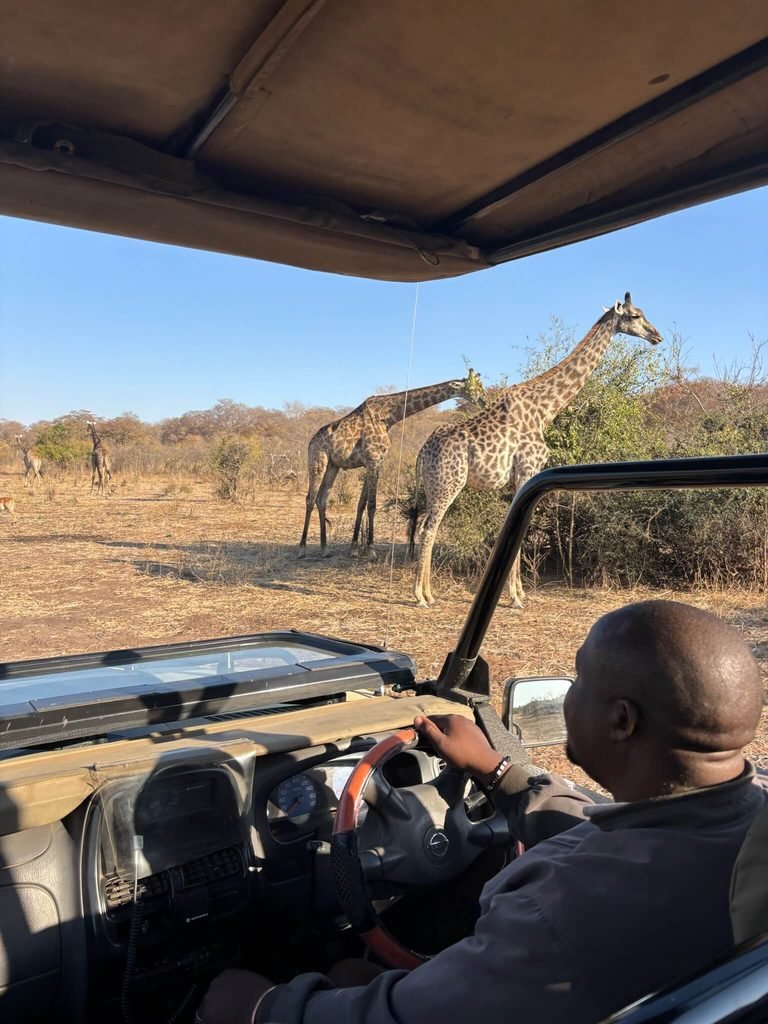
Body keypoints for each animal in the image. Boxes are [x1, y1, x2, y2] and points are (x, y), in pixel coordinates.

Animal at [299, 369, 485, 560]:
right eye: (474, 388)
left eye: (481, 386)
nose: (484, 401)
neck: (387, 417)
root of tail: (311, 442)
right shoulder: (373, 460)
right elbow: (372, 505)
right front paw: (371, 550)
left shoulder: (374, 462)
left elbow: (362, 504)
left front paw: (354, 548)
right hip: (317, 460)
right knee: (310, 499)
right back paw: (302, 548)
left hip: (333, 466)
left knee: (322, 499)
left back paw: (324, 548)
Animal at [412, 294, 663, 608]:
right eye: (635, 315)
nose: (657, 336)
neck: (545, 409)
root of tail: (422, 453)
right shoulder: (526, 471)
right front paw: (516, 597)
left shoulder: (520, 478)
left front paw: (518, 594)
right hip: (449, 482)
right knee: (428, 528)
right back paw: (421, 596)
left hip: (434, 486)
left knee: (426, 527)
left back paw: (428, 592)